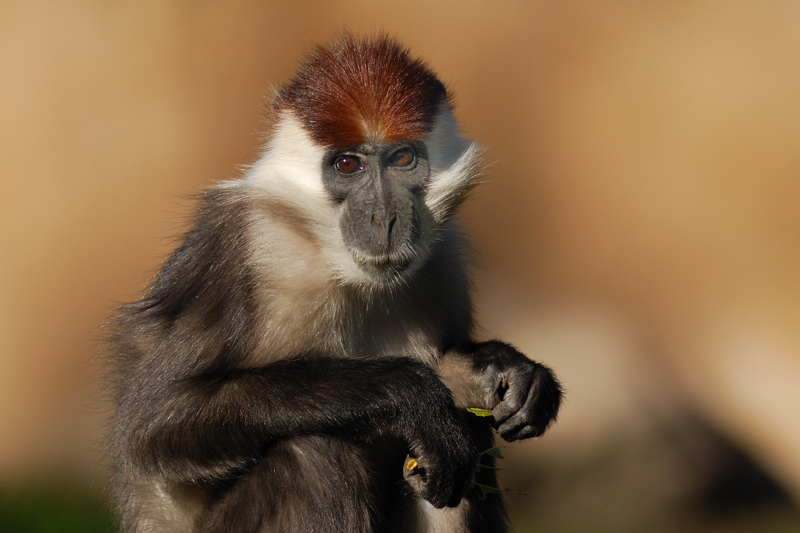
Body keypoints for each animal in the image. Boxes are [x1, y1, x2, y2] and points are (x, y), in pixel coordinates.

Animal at [108, 34, 564, 532]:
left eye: (403, 159)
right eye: (348, 165)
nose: (384, 218)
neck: (337, 263)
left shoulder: (445, 259)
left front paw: (507, 370)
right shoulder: (241, 247)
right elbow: (154, 423)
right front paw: (408, 394)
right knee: (311, 453)